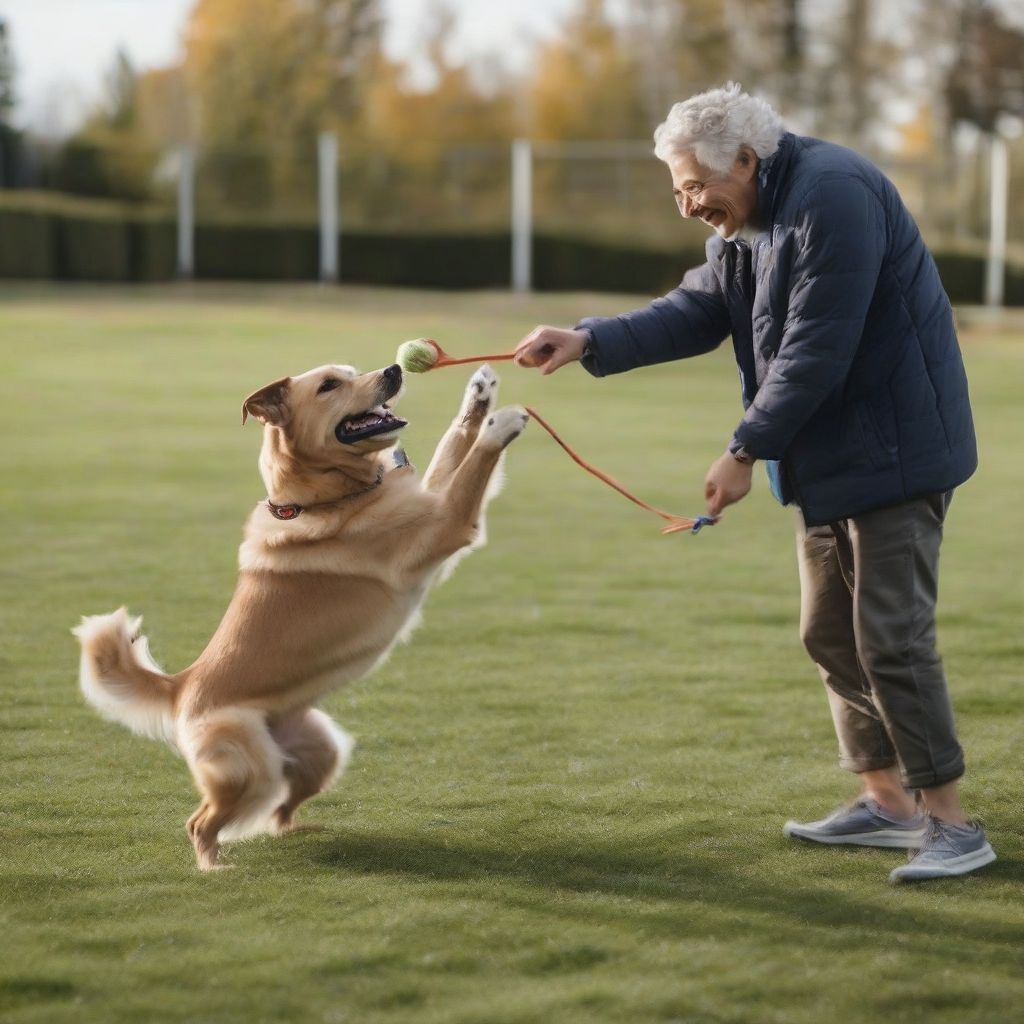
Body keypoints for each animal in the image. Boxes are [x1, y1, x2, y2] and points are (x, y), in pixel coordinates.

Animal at [72, 356, 528, 868]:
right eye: (329, 386)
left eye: (353, 370)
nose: (394, 368)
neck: (332, 497)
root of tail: (182, 686)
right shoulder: (447, 522)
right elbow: (473, 466)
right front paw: (500, 424)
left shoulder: (433, 505)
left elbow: (455, 446)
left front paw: (480, 396)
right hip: (250, 771)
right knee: (201, 821)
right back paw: (214, 868)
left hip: (321, 752)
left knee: (281, 806)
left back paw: (296, 831)